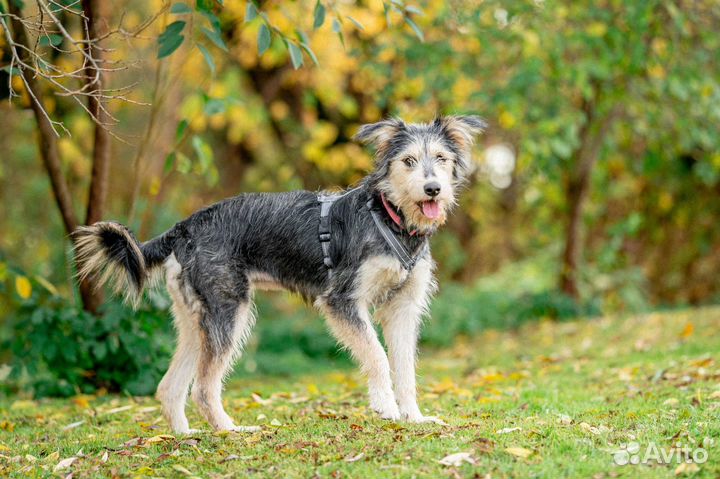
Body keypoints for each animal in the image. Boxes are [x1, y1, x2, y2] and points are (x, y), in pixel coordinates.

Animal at [74, 116, 484, 436]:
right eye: (408, 161)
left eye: (442, 158)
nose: (433, 189)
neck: (390, 218)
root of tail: (185, 226)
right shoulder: (343, 300)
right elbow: (378, 356)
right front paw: (385, 406)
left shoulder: (403, 308)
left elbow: (406, 369)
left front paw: (413, 417)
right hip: (230, 312)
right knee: (202, 388)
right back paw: (230, 430)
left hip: (197, 320)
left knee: (170, 386)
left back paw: (183, 436)